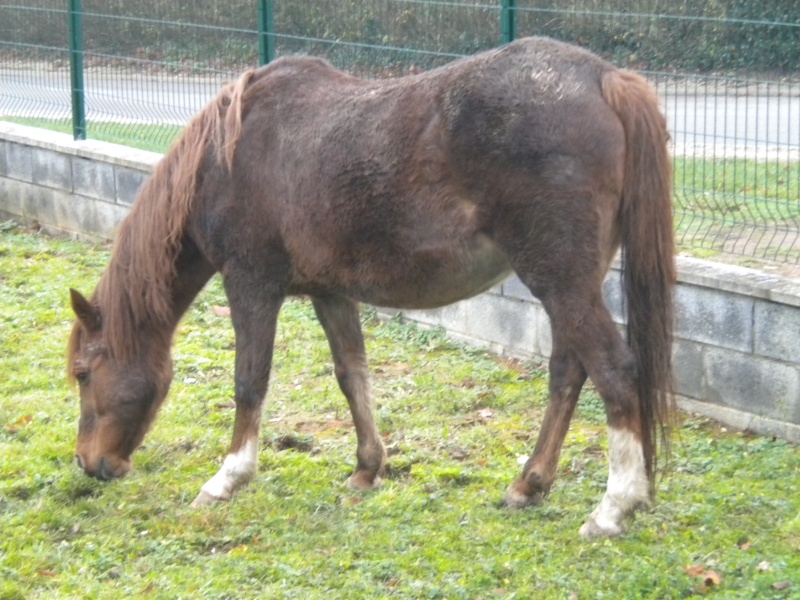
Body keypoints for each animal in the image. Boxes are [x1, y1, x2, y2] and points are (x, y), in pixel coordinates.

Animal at [67, 35, 676, 536]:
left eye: (82, 373)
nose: (90, 464)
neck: (226, 156)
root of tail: (603, 78)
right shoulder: (330, 292)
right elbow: (352, 374)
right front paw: (367, 468)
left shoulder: (251, 285)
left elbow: (250, 381)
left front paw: (227, 478)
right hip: (570, 282)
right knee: (569, 372)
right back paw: (529, 484)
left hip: (559, 279)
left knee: (614, 370)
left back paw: (613, 507)